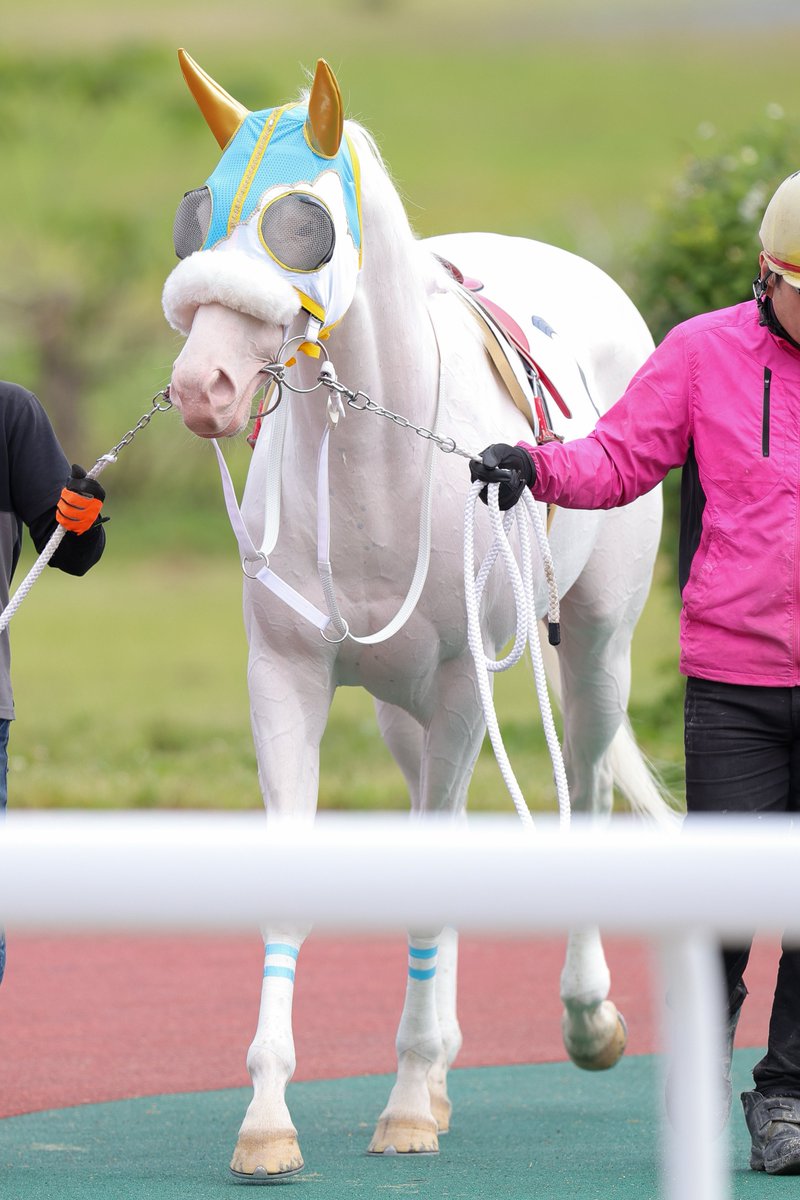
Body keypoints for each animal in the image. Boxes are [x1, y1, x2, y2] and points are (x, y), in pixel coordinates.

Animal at [163, 54, 671, 1180]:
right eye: (196, 213)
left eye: (301, 222)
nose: (202, 385)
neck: (377, 464)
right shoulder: (288, 680)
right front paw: (270, 1117)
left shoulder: (458, 689)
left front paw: (401, 1106)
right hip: (399, 707)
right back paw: (440, 1070)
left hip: (595, 650)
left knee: (587, 791)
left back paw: (583, 1018)